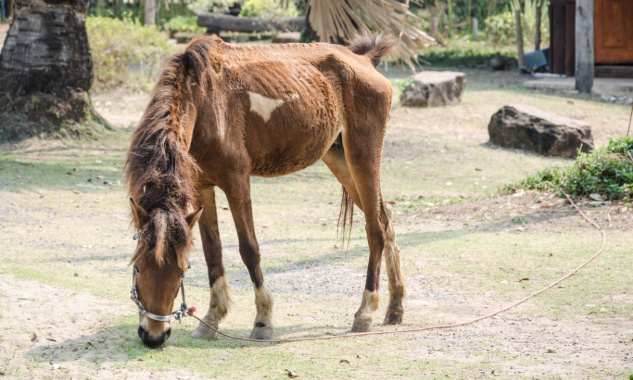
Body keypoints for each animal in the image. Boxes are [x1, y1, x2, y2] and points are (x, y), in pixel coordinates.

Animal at [124, 34, 404, 346]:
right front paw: (212, 318)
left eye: (181, 271)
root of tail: (364, 60)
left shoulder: (236, 180)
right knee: (385, 220)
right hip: (339, 159)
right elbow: (213, 252)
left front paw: (262, 320)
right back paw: (395, 307)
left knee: (375, 230)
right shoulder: (201, 187)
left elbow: (249, 248)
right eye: (138, 266)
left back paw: (365, 312)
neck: (203, 100)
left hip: (362, 157)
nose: (153, 335)